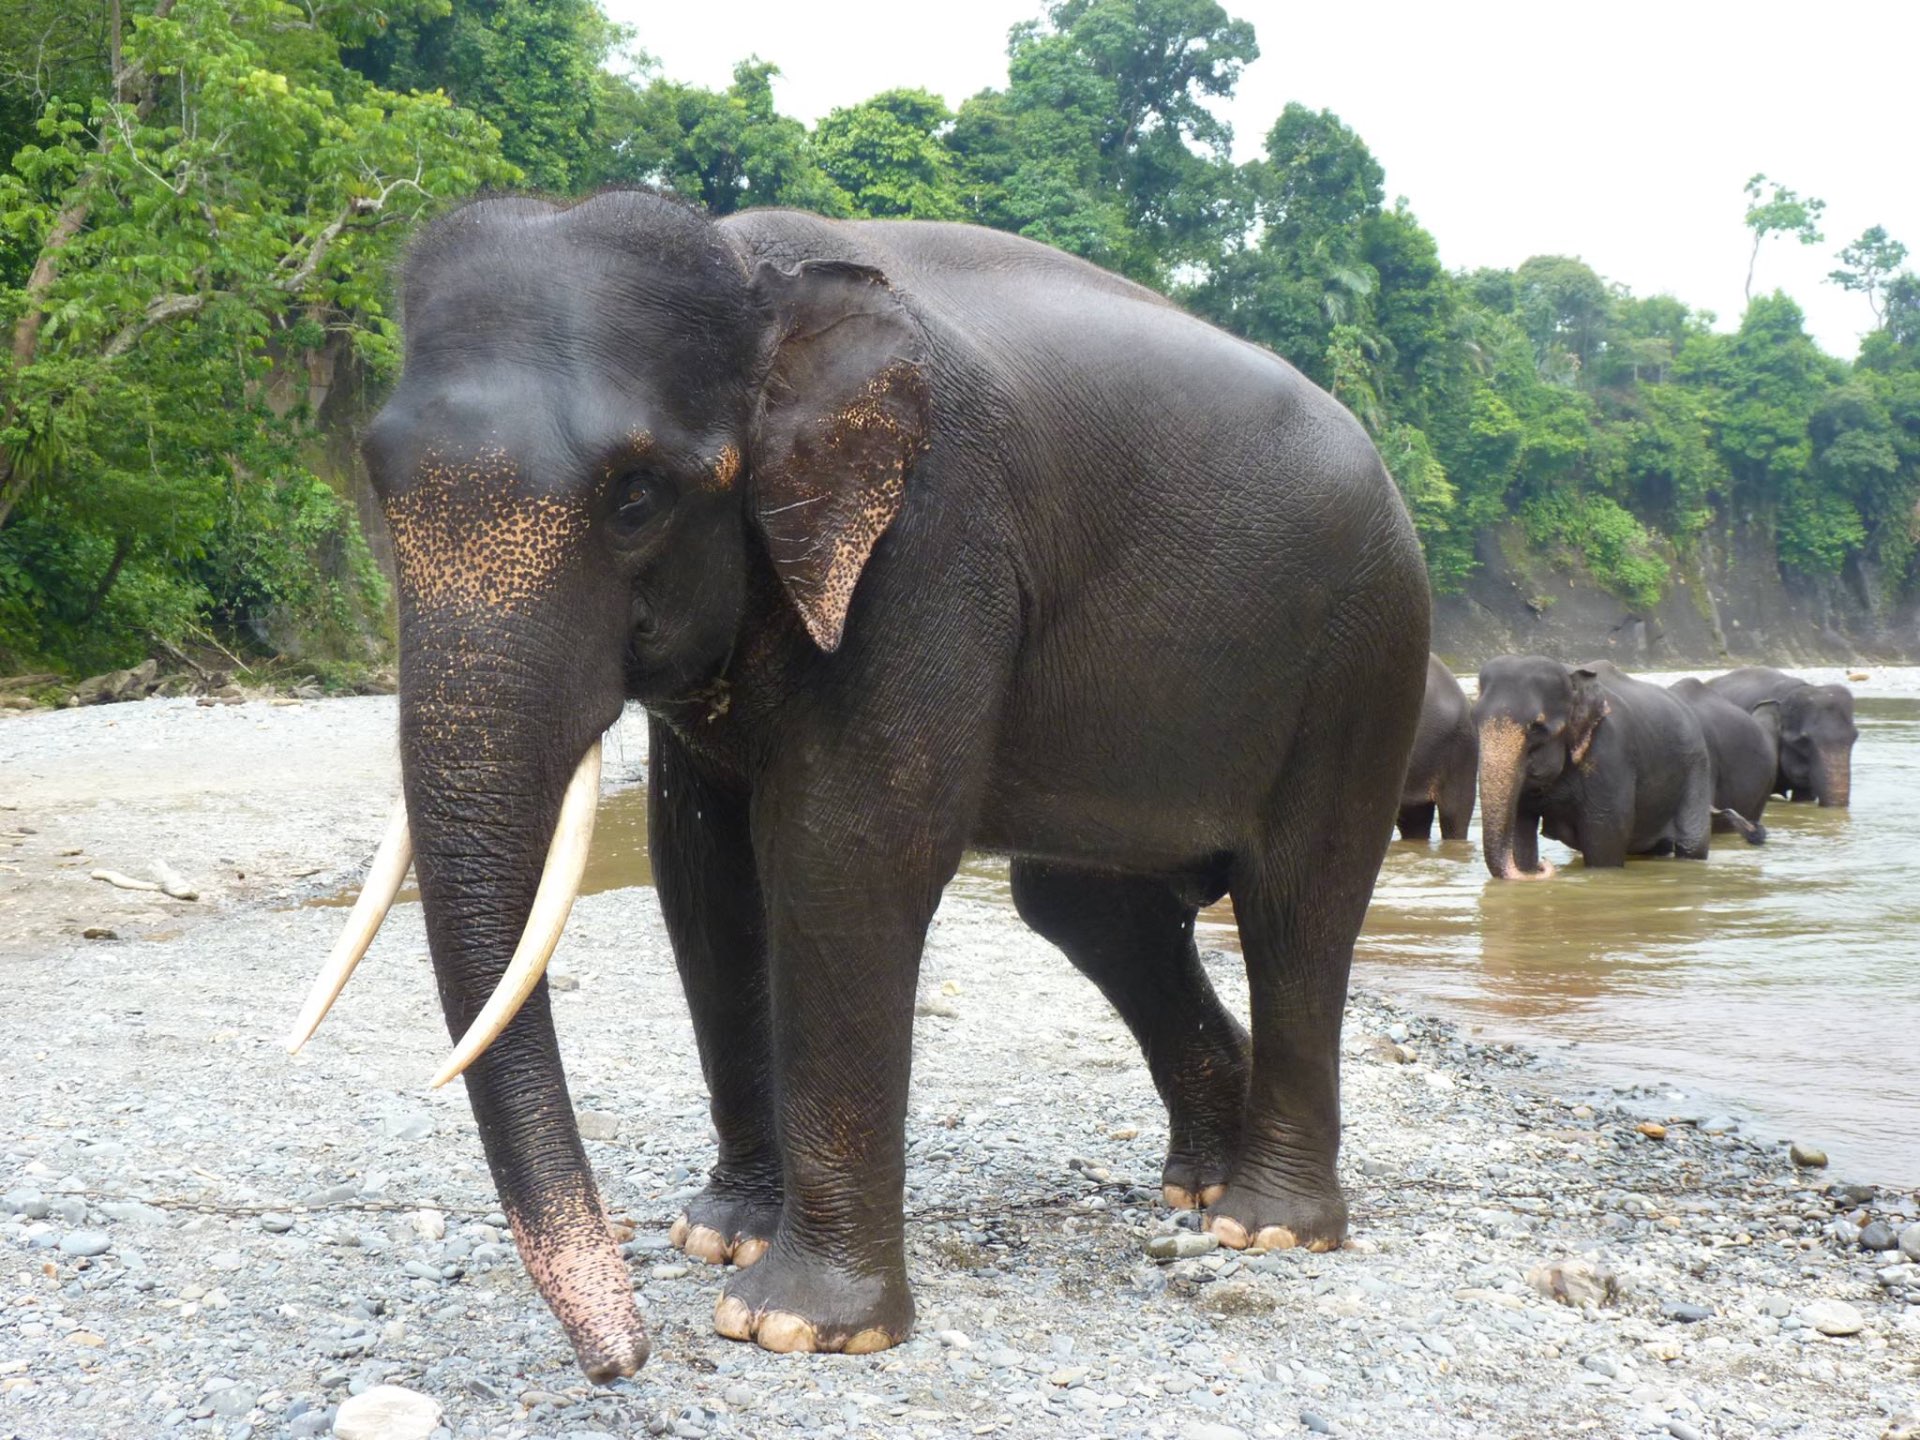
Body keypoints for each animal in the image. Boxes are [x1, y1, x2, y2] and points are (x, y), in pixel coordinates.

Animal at [283, 191, 1431, 1380]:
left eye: (636, 497)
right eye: (377, 480)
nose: (623, 1360)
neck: (747, 269)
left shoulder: (931, 546)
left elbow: (848, 857)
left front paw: (794, 1325)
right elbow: (703, 879)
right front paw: (720, 1239)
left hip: (1367, 652)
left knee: (1297, 905)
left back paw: (1266, 1226)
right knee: (1091, 911)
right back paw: (1198, 1186)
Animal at [1473, 656, 1712, 879]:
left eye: (1537, 727)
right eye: (1476, 720)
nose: (1543, 864)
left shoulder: (1610, 753)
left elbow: (1606, 832)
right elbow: (1521, 827)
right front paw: (1527, 869)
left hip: (1696, 769)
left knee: (1692, 844)